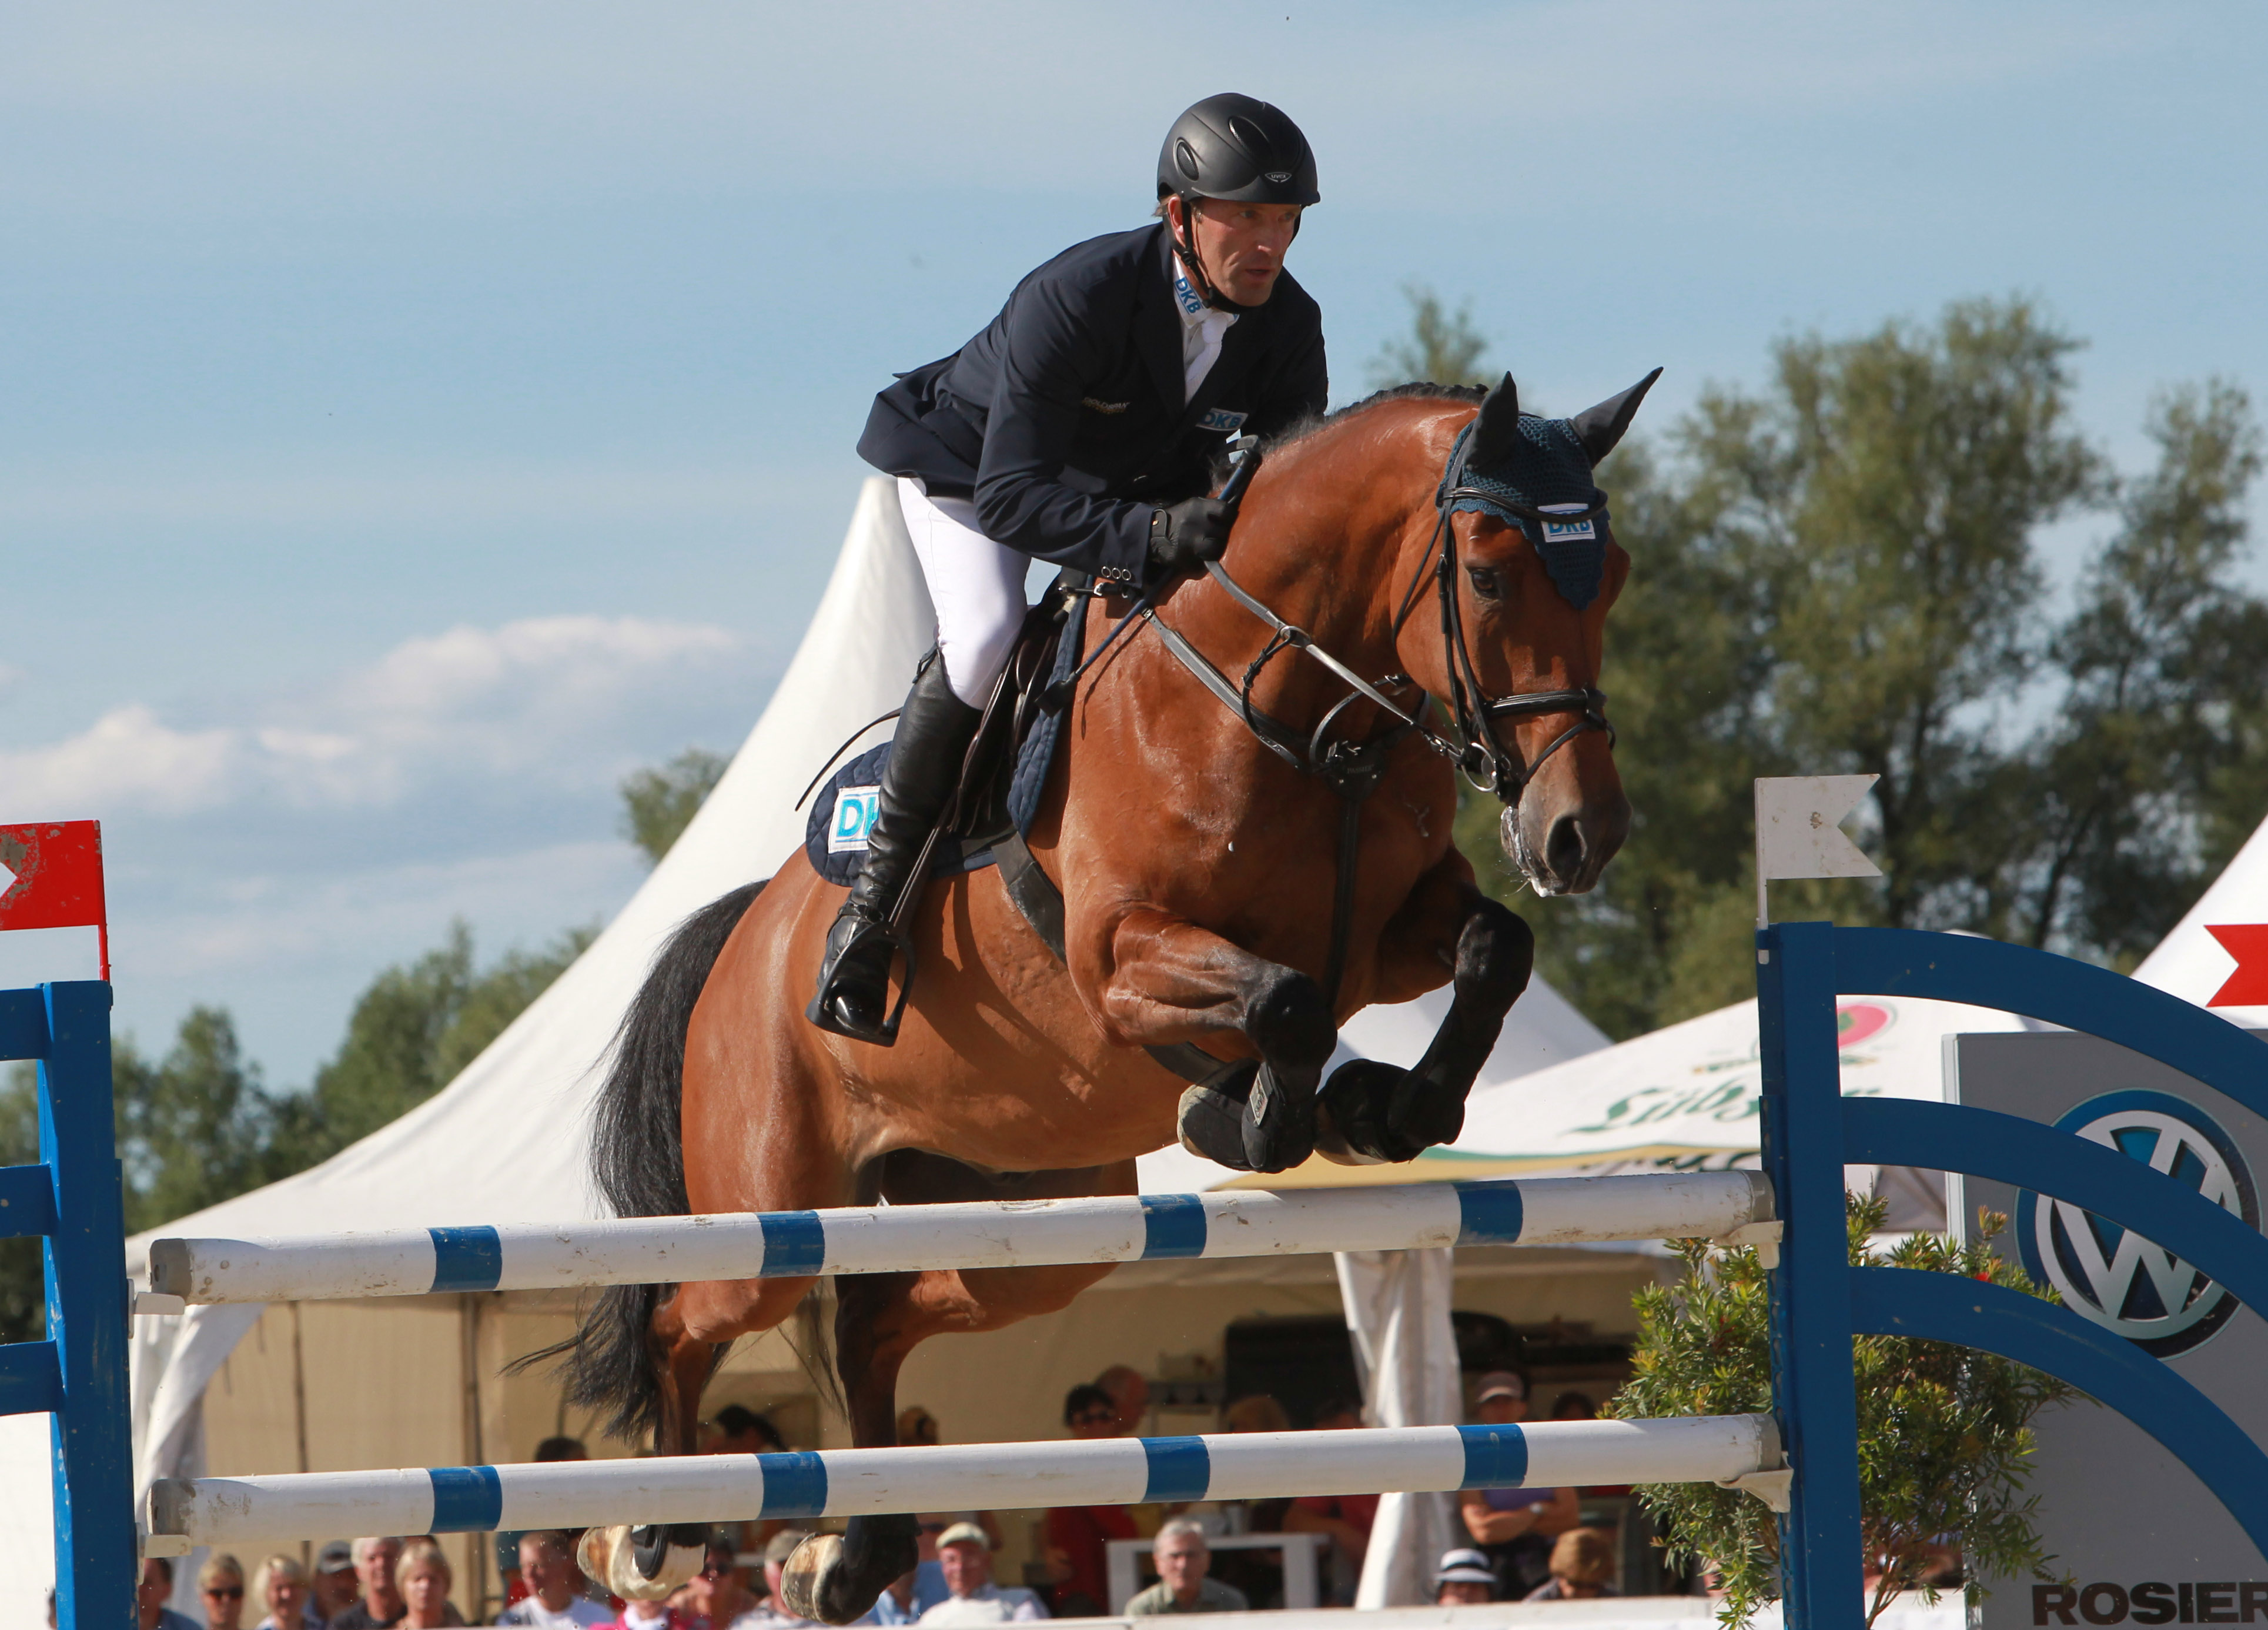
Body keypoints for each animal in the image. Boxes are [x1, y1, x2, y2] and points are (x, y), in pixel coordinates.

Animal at [544, 374, 1651, 1623]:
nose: (1580, 832)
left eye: (1609, 573)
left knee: (873, 1322)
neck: (1297, 714)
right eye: (1490, 574)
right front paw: (1256, 1116)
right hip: (767, 1213)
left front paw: (1387, 1108)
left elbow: (1489, 946)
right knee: (683, 1320)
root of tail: (746, 933)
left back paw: (849, 1560)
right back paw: (645, 1537)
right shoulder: (1122, 955)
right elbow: (1286, 1005)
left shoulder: (1391, 935)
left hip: (1022, 1221)